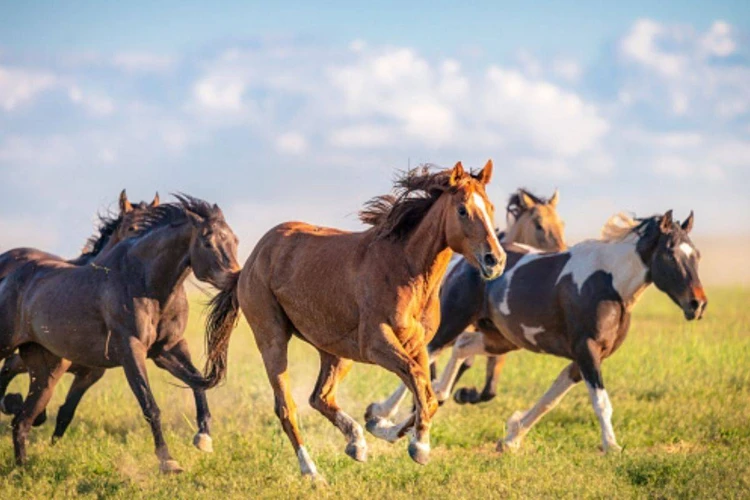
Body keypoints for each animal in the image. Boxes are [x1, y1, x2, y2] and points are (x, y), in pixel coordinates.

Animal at [0, 194, 239, 472]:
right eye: (207, 242)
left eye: (235, 240)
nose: (236, 278)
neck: (143, 282)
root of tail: (7, 278)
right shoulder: (131, 351)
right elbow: (149, 404)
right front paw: (167, 461)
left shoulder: (166, 350)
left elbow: (197, 382)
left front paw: (203, 438)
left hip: (45, 370)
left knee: (22, 421)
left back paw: (22, 469)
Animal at [194, 161, 512, 480]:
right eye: (462, 210)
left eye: (491, 207)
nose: (495, 260)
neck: (405, 270)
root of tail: (251, 261)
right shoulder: (376, 344)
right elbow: (419, 384)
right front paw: (418, 445)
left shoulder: (417, 344)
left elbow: (426, 392)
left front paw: (383, 427)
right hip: (272, 340)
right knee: (287, 408)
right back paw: (312, 472)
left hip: (336, 351)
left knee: (320, 397)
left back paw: (356, 443)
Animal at [366, 188, 568, 422]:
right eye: (538, 225)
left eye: (561, 223)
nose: (562, 252)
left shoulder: (496, 337)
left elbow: (488, 387)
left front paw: (463, 394)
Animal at [428, 211, 712, 454]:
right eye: (671, 255)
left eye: (697, 255)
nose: (697, 305)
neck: (609, 285)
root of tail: (461, 261)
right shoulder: (587, 350)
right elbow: (601, 402)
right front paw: (612, 446)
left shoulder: (584, 358)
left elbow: (550, 400)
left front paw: (511, 438)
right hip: (454, 322)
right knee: (429, 353)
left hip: (501, 338)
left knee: (462, 346)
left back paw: (442, 394)